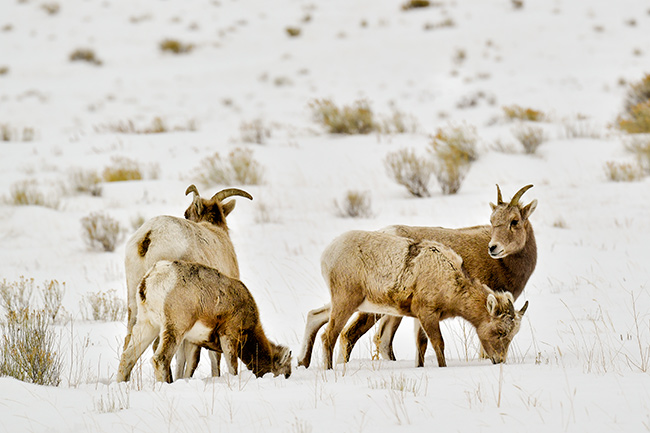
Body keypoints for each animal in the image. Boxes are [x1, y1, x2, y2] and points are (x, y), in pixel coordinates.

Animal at [115, 260, 290, 382]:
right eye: (286, 373)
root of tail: (150, 280)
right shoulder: (228, 335)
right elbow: (232, 366)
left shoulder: (192, 342)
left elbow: (188, 367)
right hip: (174, 329)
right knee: (160, 359)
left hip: (147, 325)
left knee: (127, 357)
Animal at [296, 230, 524, 368]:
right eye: (500, 331)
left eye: (514, 334)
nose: (499, 360)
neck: (451, 284)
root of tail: (327, 254)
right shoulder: (427, 313)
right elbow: (438, 344)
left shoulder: (420, 317)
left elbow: (421, 346)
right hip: (346, 301)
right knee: (329, 335)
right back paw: (327, 369)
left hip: (349, 302)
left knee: (314, 315)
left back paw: (302, 362)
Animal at [336, 182, 536, 362]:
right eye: (492, 221)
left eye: (514, 221)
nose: (493, 248)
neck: (504, 264)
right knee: (349, 335)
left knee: (382, 341)